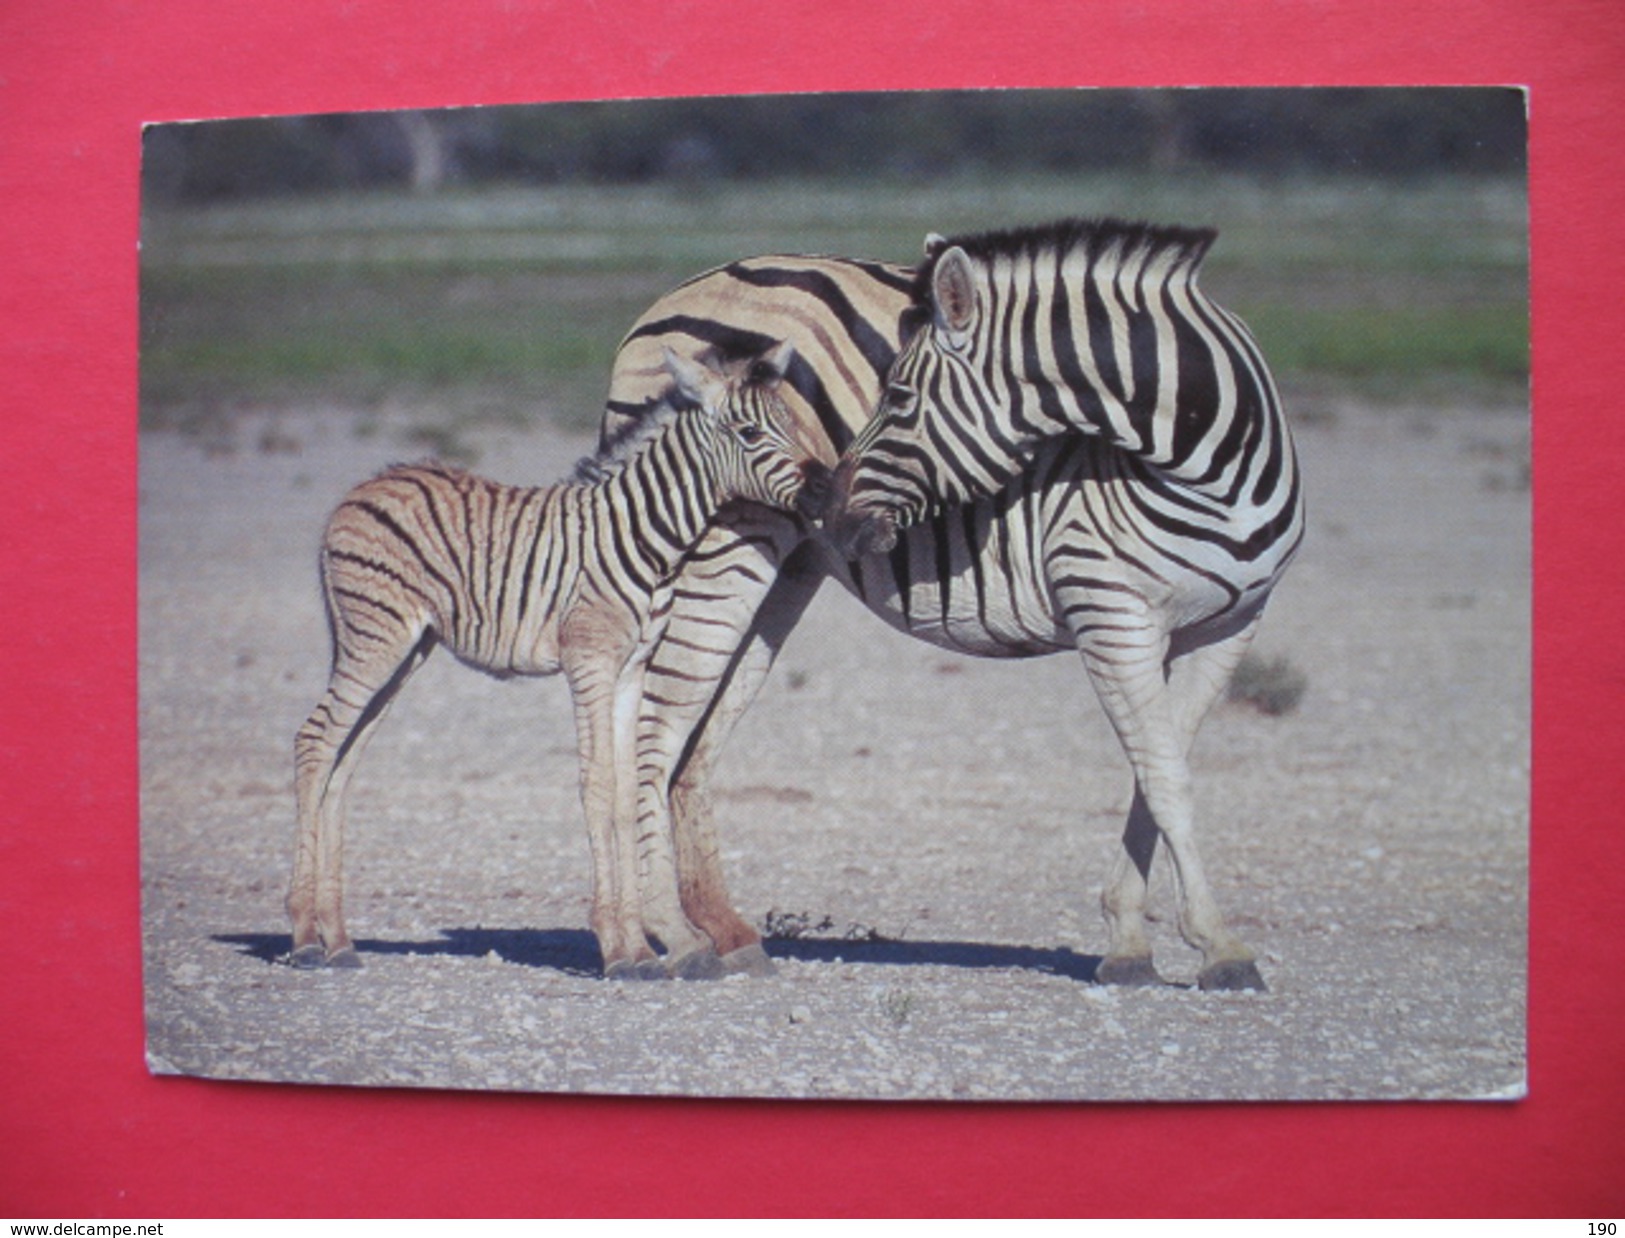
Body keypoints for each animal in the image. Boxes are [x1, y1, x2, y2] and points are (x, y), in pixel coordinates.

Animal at [282, 337, 825, 974]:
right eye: (748, 431)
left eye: (790, 420)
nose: (823, 490)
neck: (648, 538)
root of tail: (360, 489)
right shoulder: (589, 659)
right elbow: (598, 785)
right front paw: (618, 949)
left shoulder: (631, 668)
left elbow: (626, 789)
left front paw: (638, 946)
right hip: (376, 639)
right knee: (315, 742)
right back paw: (303, 936)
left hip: (404, 649)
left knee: (342, 762)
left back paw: (339, 939)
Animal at [604, 217, 1300, 987]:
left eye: (899, 398)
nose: (835, 510)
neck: (1207, 469)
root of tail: (684, 289)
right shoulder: (1108, 610)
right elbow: (1166, 776)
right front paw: (1220, 946)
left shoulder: (1228, 628)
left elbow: (1156, 768)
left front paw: (1130, 936)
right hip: (715, 549)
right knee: (653, 729)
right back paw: (666, 940)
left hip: (784, 574)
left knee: (694, 742)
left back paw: (722, 931)